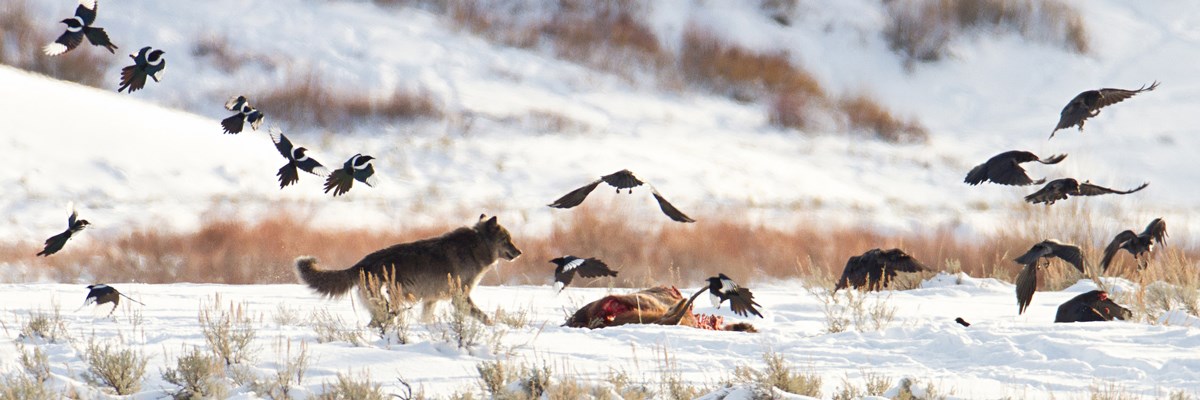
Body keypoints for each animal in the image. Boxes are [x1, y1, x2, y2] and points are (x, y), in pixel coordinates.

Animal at [295, 213, 520, 321]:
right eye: (507, 240)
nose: (520, 252)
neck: (477, 246)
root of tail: (361, 263)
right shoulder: (460, 298)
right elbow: (485, 318)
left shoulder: (431, 301)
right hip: (389, 307)